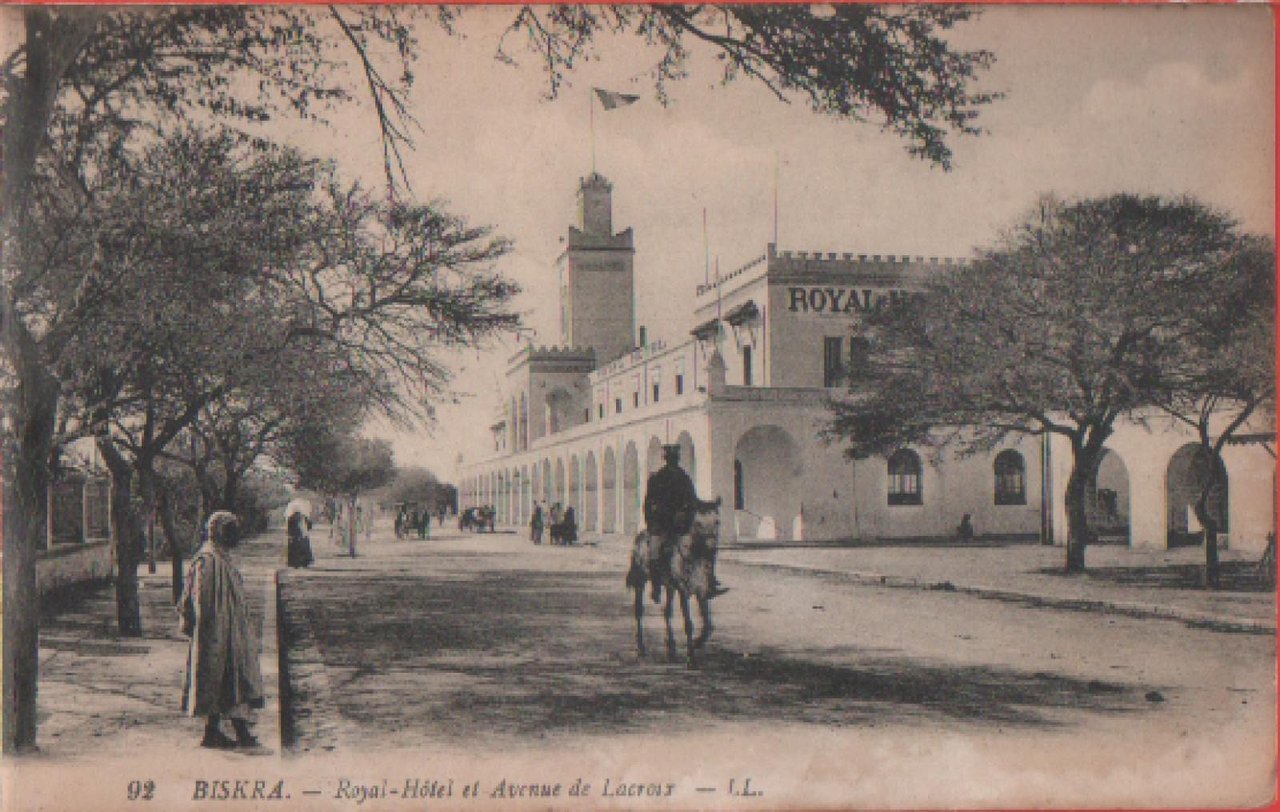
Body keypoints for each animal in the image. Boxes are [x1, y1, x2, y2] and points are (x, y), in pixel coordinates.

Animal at [627, 496, 727, 665]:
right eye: (698, 523)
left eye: (717, 521)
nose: (712, 548)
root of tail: (640, 537)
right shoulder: (683, 590)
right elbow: (688, 623)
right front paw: (691, 658)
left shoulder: (701, 591)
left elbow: (708, 624)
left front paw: (697, 643)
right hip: (641, 582)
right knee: (639, 611)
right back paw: (640, 648)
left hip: (669, 587)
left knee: (667, 612)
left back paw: (671, 649)